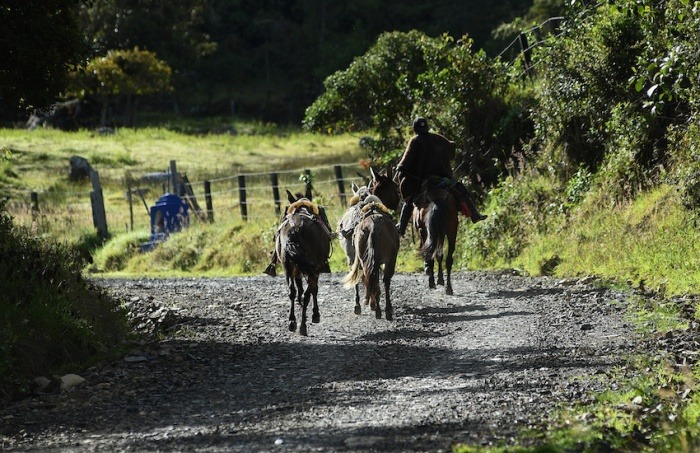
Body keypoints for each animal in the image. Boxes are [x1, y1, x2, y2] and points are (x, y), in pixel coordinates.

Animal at [274, 189, 332, 334]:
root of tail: (295, 227)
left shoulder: (296, 269)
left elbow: (298, 287)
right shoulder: (316, 268)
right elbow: (314, 290)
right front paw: (315, 314)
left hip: (286, 267)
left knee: (291, 291)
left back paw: (292, 321)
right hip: (313, 268)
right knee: (308, 293)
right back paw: (303, 325)